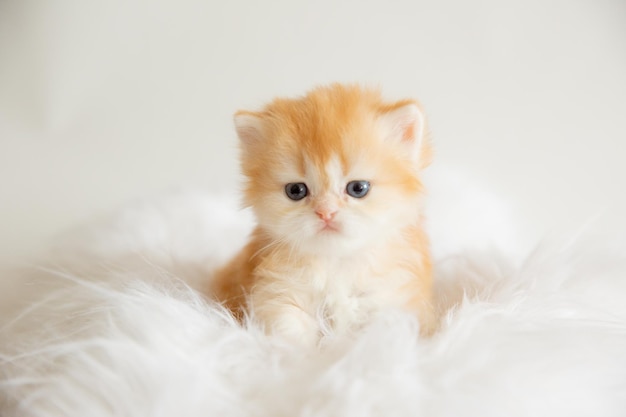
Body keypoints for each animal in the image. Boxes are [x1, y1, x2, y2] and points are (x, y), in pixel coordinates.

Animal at [212, 83, 432, 342]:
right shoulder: (280, 296)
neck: (336, 264)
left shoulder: (390, 300)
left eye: (358, 188)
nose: (325, 212)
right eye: (296, 190)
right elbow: (292, 335)